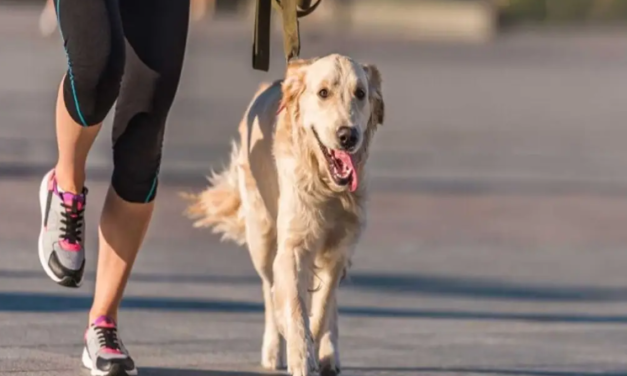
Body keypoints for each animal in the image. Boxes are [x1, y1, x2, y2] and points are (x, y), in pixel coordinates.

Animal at [184, 53, 386, 376]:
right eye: (323, 92)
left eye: (360, 93)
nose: (347, 135)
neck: (328, 188)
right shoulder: (292, 246)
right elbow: (292, 305)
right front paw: (300, 356)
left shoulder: (339, 248)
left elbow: (322, 307)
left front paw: (316, 348)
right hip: (262, 236)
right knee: (269, 289)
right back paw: (273, 348)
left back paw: (329, 353)